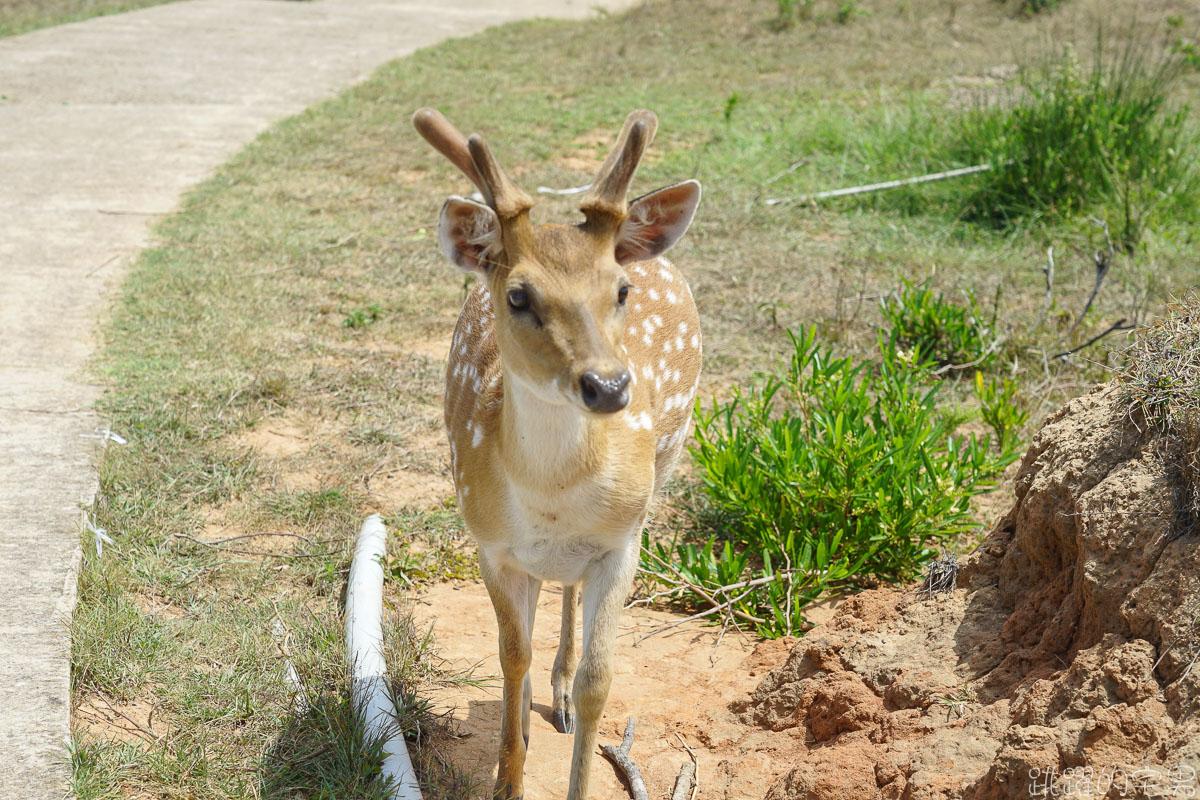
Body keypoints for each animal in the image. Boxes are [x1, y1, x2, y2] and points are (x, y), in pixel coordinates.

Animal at [410, 107, 700, 800]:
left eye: (620, 290)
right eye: (519, 295)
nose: (610, 386)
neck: (552, 496)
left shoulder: (624, 541)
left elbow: (601, 680)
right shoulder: (488, 542)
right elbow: (509, 654)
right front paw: (507, 777)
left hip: (664, 470)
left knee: (567, 591)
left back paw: (560, 698)